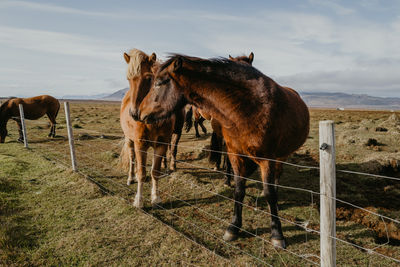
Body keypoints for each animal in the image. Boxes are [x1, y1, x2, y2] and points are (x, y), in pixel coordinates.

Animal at [119, 49, 188, 209]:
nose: (134, 113)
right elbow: (141, 173)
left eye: (149, 78)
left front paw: (156, 198)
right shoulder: (140, 144)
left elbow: (154, 172)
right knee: (132, 159)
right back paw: (130, 177)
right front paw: (139, 200)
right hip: (129, 140)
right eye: (128, 79)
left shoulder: (161, 144)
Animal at [137, 54, 310, 249]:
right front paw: (233, 227)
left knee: (277, 177)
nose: (139, 112)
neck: (248, 108)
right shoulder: (235, 154)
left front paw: (277, 234)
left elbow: (269, 193)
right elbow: (238, 190)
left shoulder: (267, 159)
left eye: (159, 83)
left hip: (280, 155)